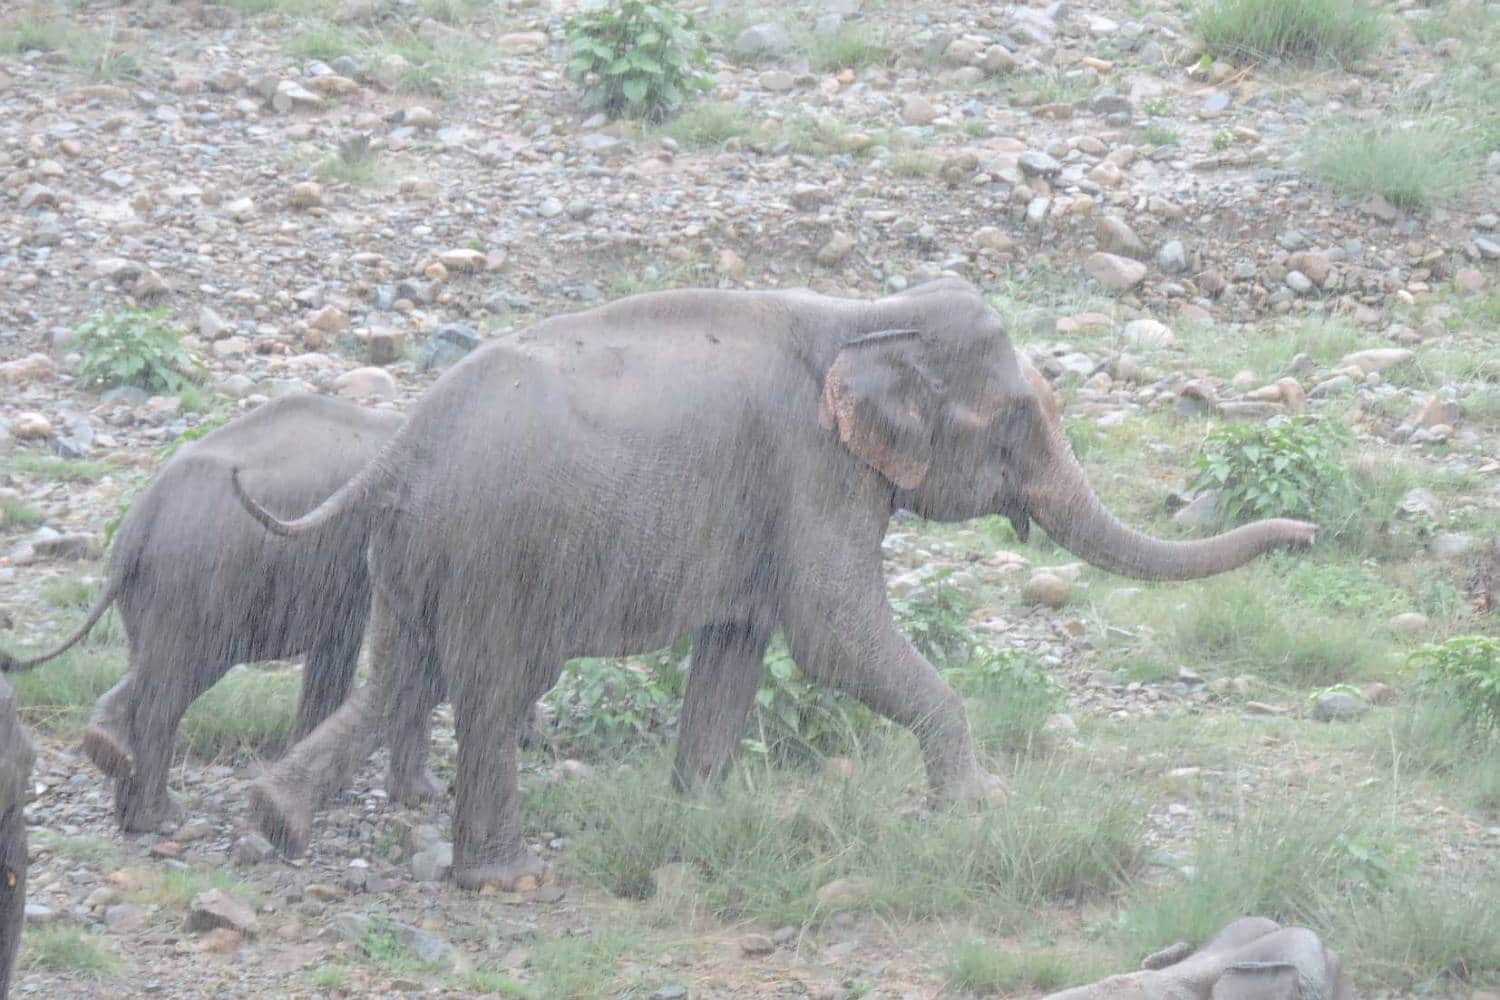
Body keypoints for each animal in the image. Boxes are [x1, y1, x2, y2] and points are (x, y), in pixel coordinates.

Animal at [0, 393, 439, 833]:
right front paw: (418, 795)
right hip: (200, 588)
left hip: (162, 591)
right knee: (171, 687)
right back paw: (157, 817)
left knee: (150, 669)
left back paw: (114, 761)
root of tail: (140, 520)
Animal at [232, 277, 1317, 888]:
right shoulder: (813, 469)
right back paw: (499, 876)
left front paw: (700, 821)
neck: (866, 317)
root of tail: (403, 441)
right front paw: (977, 805)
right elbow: (832, 636)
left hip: (417, 552)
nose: (1307, 536)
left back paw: (277, 819)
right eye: (1014, 424)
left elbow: (738, 646)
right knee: (492, 688)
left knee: (403, 675)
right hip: (503, 550)